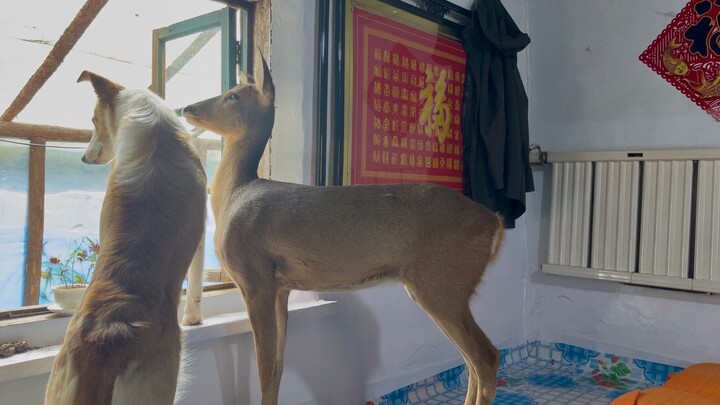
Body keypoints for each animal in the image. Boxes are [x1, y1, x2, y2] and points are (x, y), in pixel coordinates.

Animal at [181, 54, 505, 405]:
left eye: (234, 96)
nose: (187, 107)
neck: (236, 193)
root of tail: (494, 222)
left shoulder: (256, 278)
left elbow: (265, 369)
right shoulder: (281, 286)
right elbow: (279, 366)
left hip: (442, 282)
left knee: (485, 357)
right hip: (446, 287)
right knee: (474, 360)